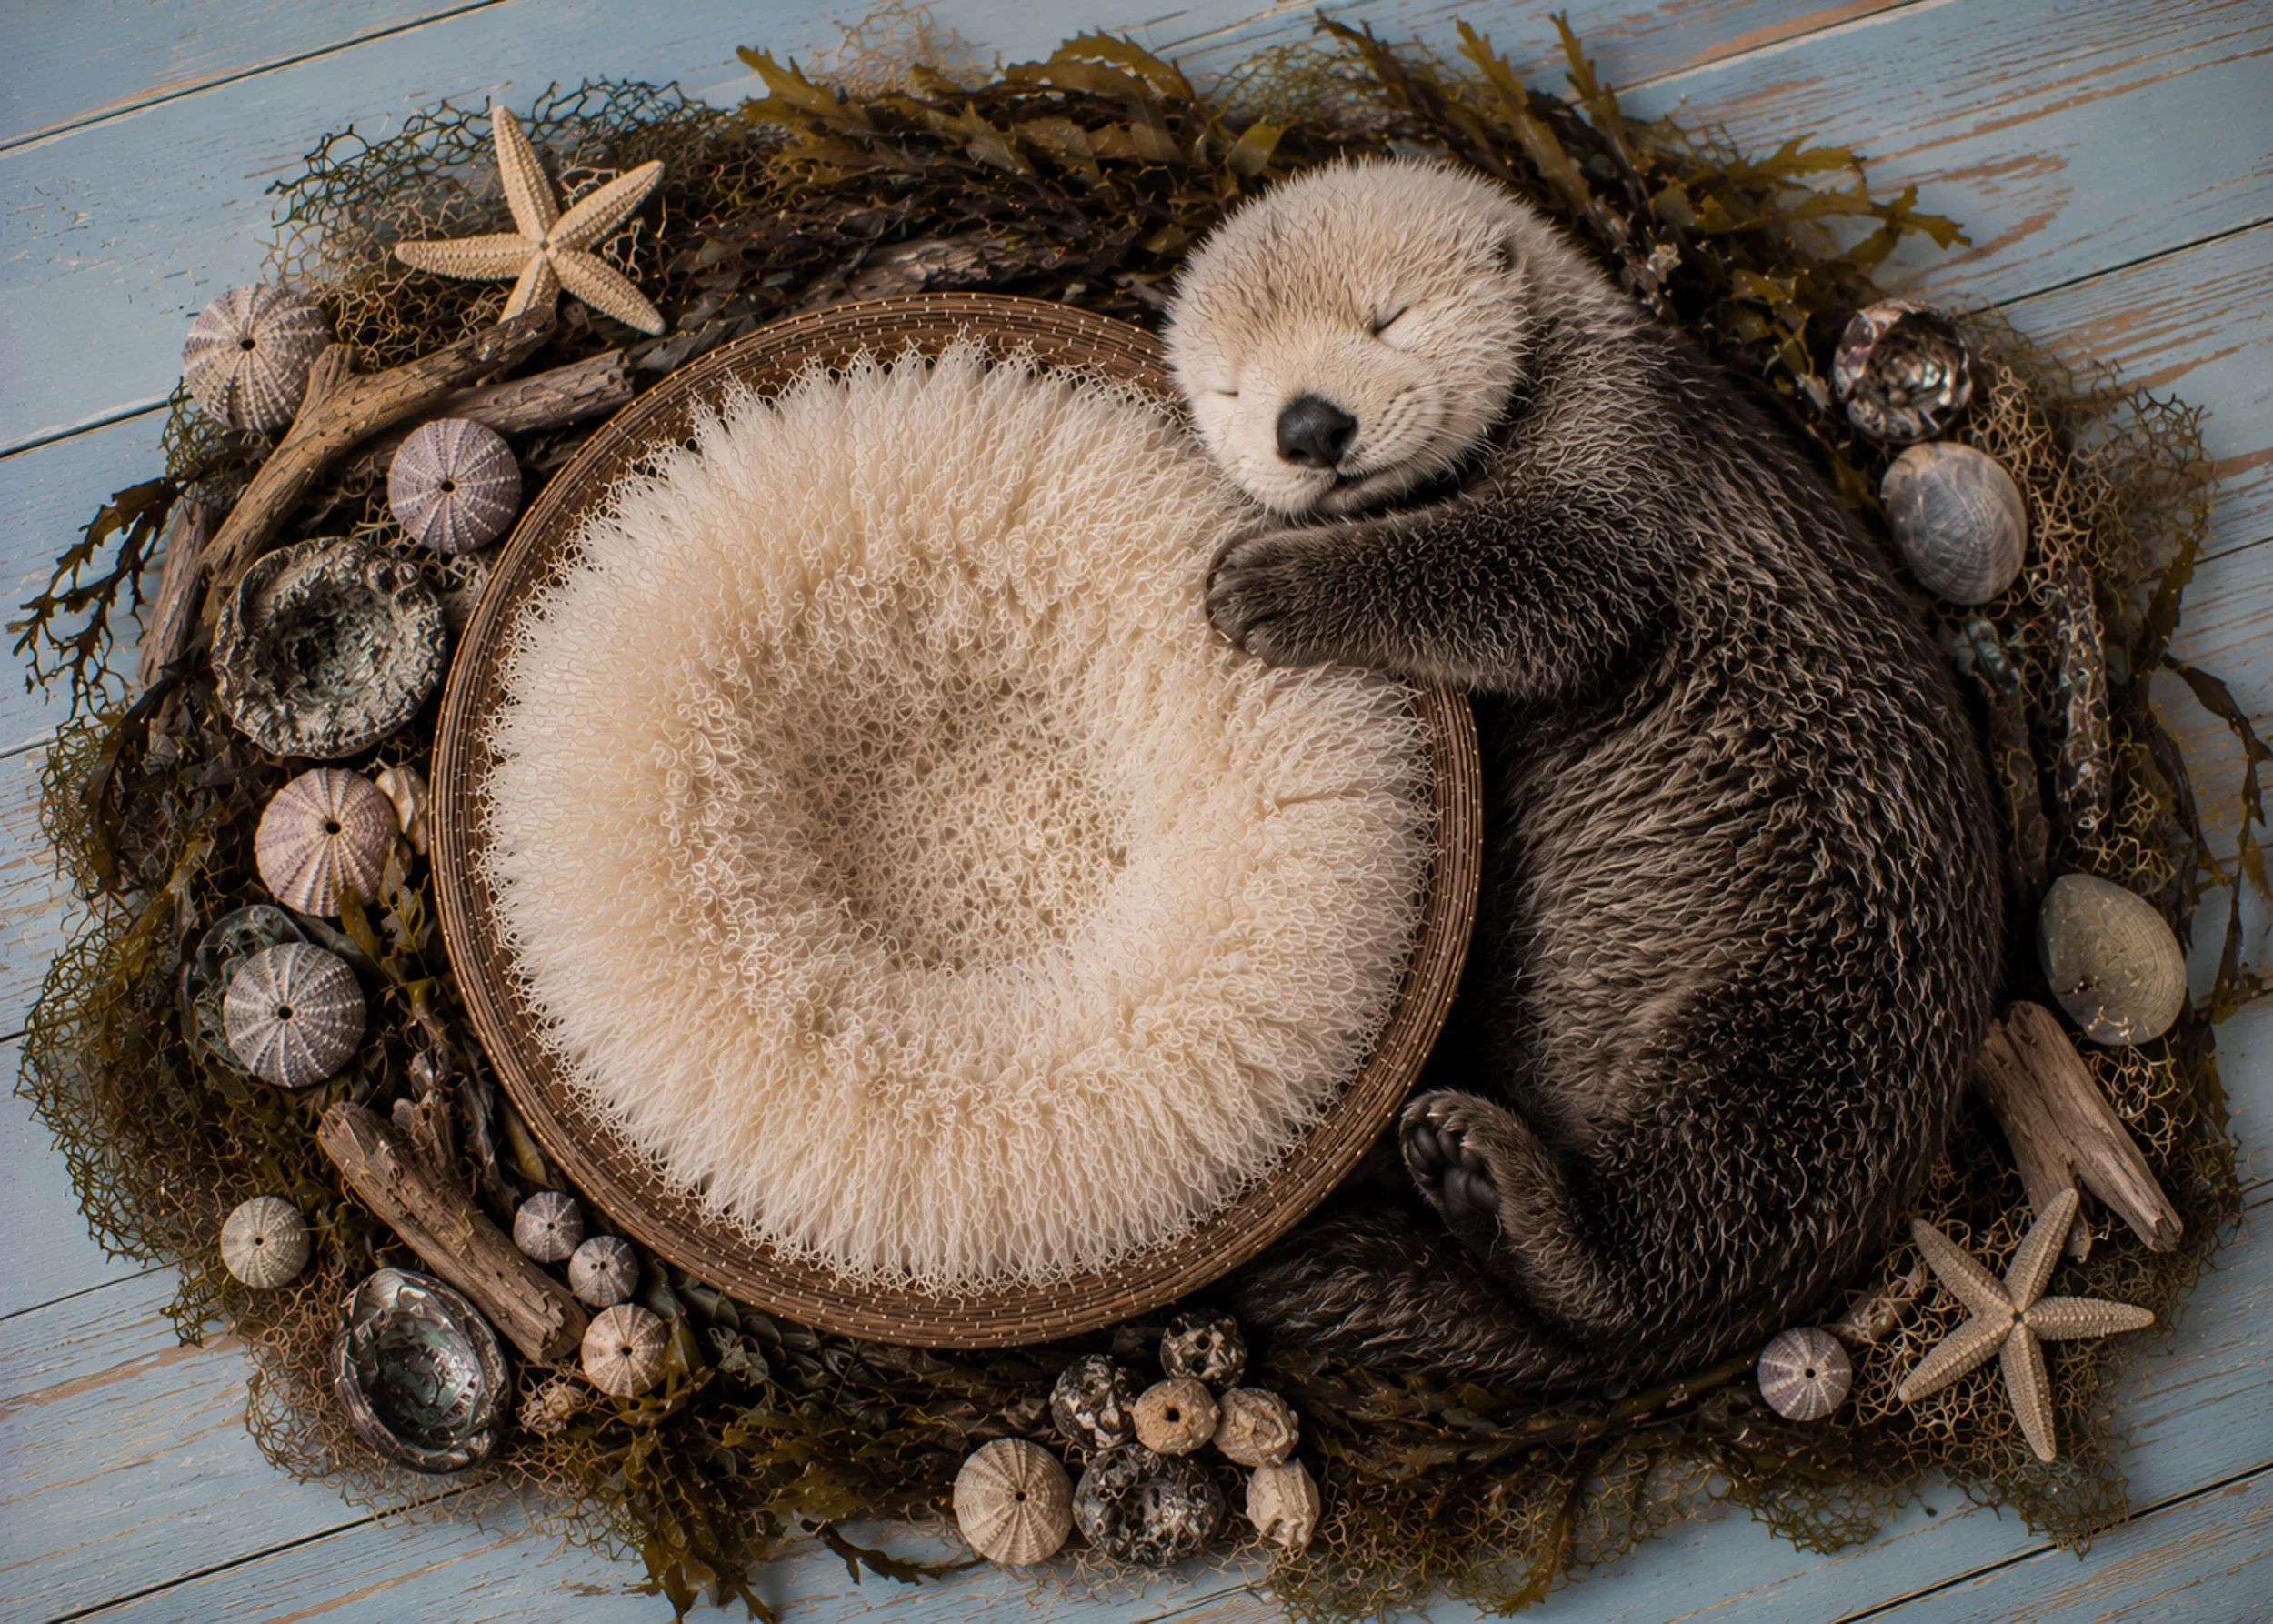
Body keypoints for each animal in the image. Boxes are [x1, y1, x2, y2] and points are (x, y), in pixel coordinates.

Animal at [1165, 159, 2002, 1388]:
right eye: (1231, 389)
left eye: (1387, 317)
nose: (1308, 423)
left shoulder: (1620, 448)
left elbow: (1536, 577)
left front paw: (1271, 584)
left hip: (1788, 1047)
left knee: (1662, 1246)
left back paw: (1501, 1186)